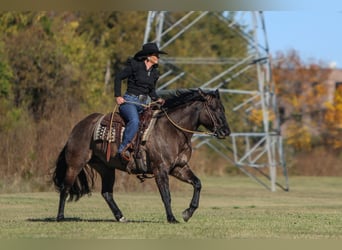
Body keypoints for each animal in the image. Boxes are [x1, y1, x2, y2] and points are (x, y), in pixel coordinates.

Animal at [52, 88, 231, 223]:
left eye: (223, 108)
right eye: (214, 108)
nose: (226, 131)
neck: (172, 130)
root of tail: (78, 127)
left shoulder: (179, 168)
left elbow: (197, 183)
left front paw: (188, 213)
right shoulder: (161, 170)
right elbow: (166, 195)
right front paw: (172, 218)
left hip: (106, 168)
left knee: (107, 193)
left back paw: (121, 217)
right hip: (75, 164)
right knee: (65, 188)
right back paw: (60, 217)